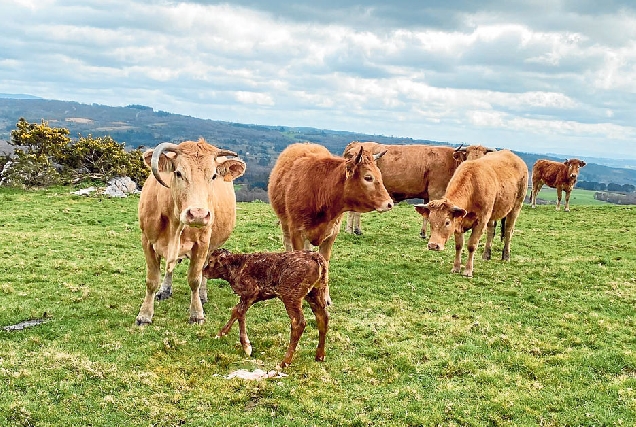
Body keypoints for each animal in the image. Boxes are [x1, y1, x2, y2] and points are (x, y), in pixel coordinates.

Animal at [137, 139, 246, 326]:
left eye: (213, 176)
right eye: (178, 173)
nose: (198, 214)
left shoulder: (202, 243)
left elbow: (195, 279)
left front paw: (196, 313)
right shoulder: (147, 241)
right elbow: (152, 280)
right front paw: (144, 315)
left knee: (204, 270)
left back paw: (202, 296)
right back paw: (165, 290)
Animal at [340, 143, 494, 237]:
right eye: (468, 157)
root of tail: (356, 145)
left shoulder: (428, 195)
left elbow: (426, 214)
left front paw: (423, 233)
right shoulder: (436, 192)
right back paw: (352, 230)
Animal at [412, 150, 528, 278]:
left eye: (447, 222)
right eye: (431, 221)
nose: (433, 245)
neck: (473, 186)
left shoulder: (481, 221)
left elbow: (471, 245)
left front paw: (468, 270)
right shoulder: (459, 222)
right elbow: (459, 245)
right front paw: (456, 267)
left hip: (516, 207)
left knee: (508, 231)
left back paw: (506, 256)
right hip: (492, 215)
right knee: (491, 231)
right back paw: (486, 254)